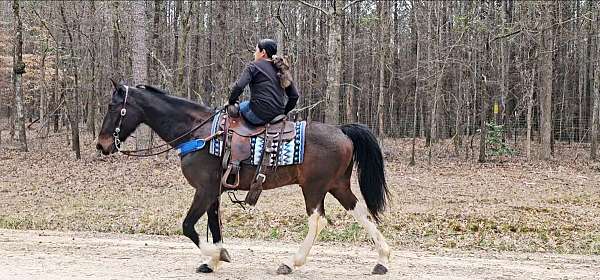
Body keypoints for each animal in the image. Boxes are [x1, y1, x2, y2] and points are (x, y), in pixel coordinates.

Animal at [96, 81, 392, 276]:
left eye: (112, 106)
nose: (101, 145)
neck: (200, 133)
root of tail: (342, 130)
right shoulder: (213, 191)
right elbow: (213, 223)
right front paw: (214, 260)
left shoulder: (204, 189)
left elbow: (188, 226)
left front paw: (214, 255)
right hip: (337, 185)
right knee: (360, 212)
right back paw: (383, 259)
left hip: (314, 188)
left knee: (316, 221)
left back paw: (291, 262)